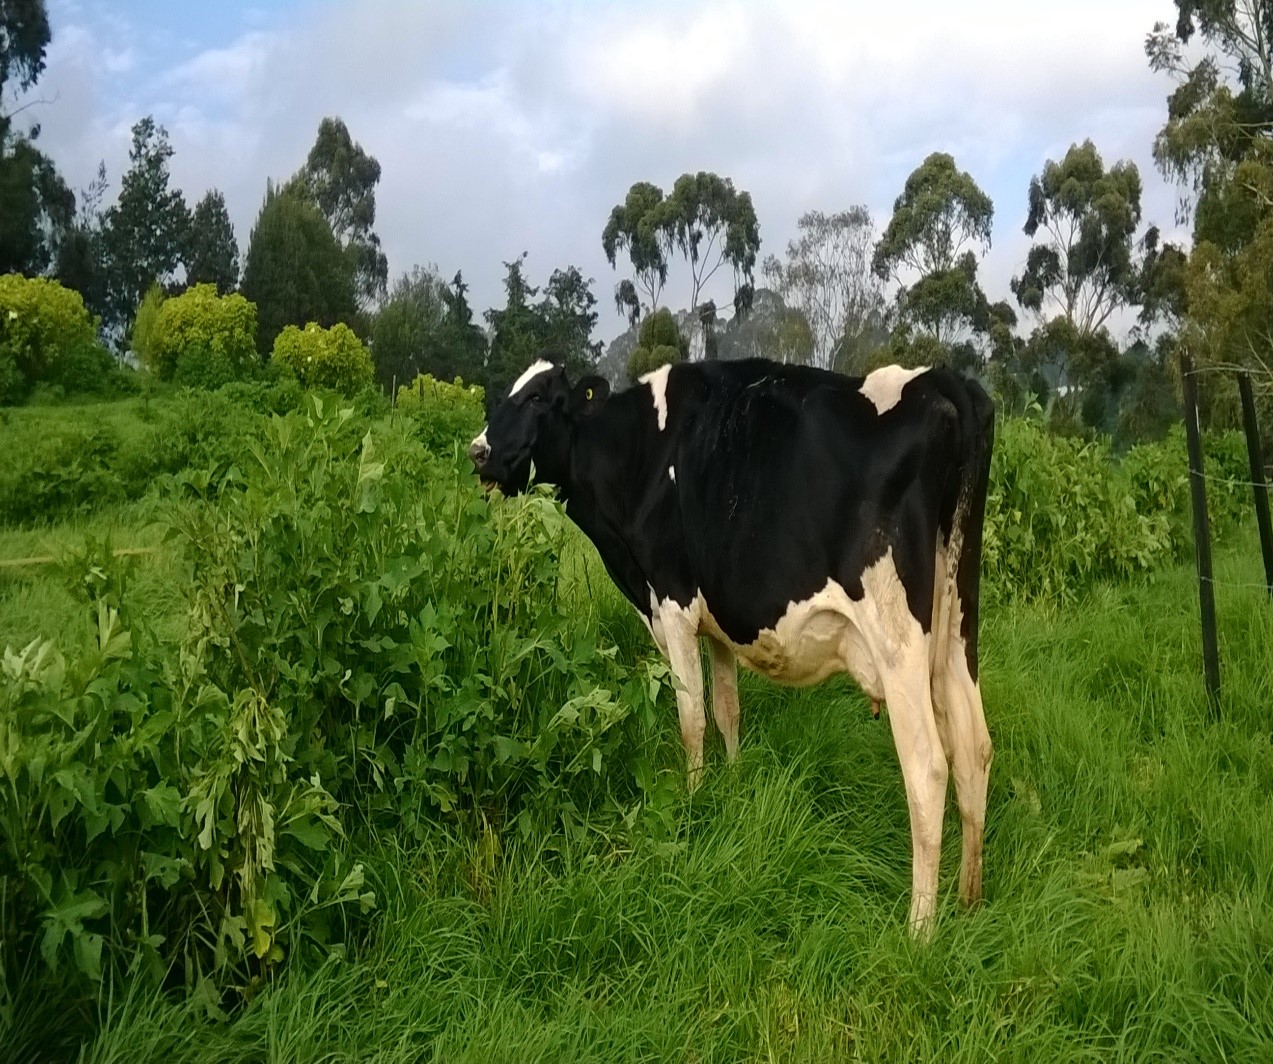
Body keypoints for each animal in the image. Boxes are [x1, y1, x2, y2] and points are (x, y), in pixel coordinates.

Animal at [468, 356, 992, 931]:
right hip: (957, 625)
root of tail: (938, 379)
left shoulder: (672, 601)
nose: (478, 451)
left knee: (928, 766)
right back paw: (970, 899)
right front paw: (734, 783)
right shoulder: (717, 618)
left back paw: (920, 928)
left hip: (897, 639)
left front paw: (693, 802)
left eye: (538, 397)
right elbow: (726, 709)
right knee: (975, 748)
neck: (639, 453)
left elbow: (692, 719)